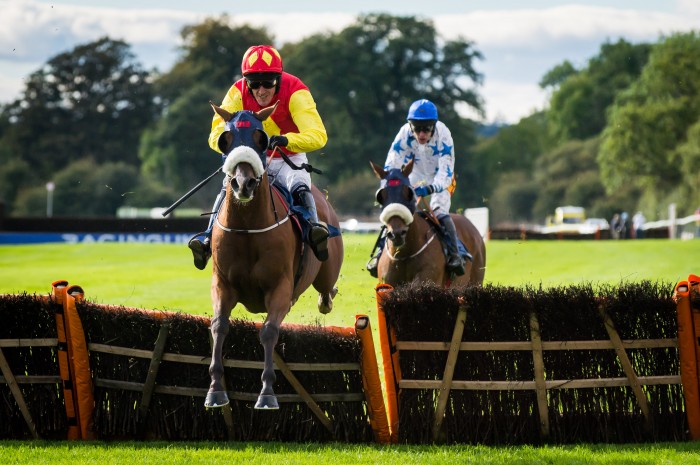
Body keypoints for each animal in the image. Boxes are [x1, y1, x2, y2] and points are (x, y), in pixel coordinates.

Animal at [205, 103, 343, 410]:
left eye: (262, 138)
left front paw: (267, 393)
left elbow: (268, 331)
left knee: (326, 292)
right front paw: (215, 389)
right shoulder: (222, 284)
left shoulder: (279, 286)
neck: (248, 228)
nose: (243, 184)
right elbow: (219, 325)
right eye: (225, 139)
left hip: (326, 270)